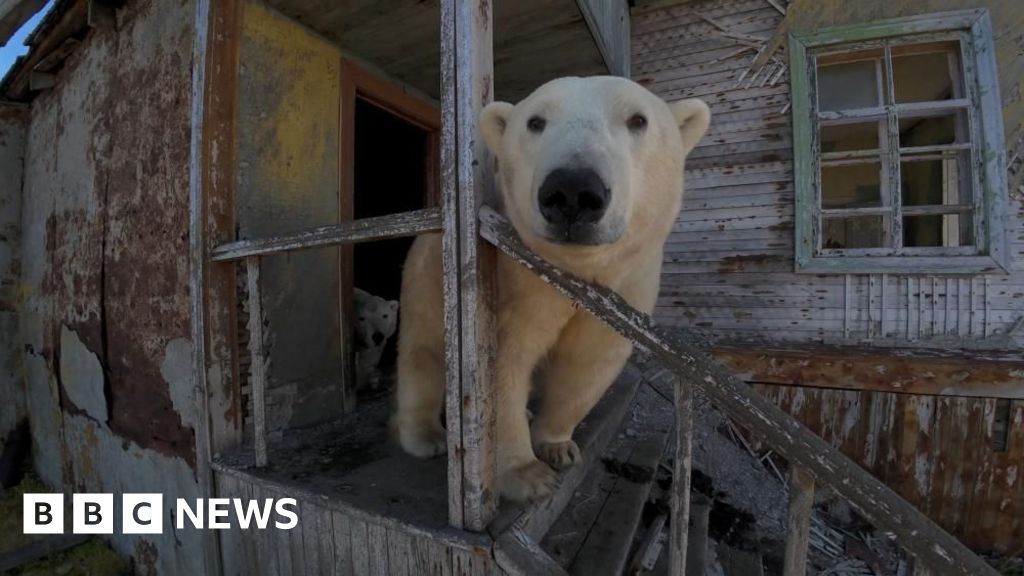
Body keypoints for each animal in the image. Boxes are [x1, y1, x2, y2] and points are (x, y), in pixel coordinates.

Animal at [393, 76, 710, 501]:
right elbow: (502, 366)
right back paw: (427, 436)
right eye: (535, 121)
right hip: (425, 280)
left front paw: (557, 447)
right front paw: (528, 475)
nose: (573, 190)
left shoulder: (626, 287)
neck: (573, 271)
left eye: (638, 119)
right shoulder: (514, 286)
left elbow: (587, 364)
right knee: (422, 353)